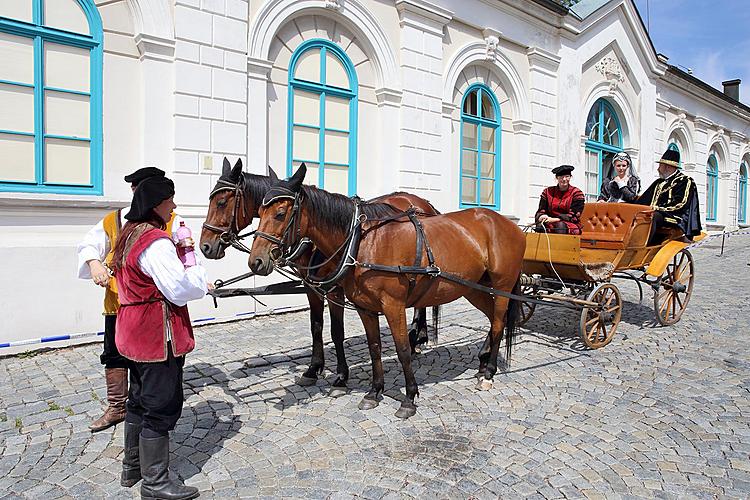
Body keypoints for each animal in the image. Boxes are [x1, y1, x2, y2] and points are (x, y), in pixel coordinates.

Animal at [203, 158, 440, 392]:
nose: (205, 246)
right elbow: (316, 326)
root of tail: (423, 202)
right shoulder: (311, 286)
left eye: (221, 202)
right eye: (260, 213)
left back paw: (416, 339)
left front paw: (341, 375)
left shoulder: (335, 290)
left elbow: (336, 331)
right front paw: (313, 368)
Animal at [250, 165, 524, 418]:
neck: (362, 242)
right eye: (259, 212)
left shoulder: (393, 306)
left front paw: (409, 398)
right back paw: (482, 363)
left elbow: (402, 349)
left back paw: (488, 372)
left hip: (502, 286)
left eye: (280, 213)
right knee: (493, 319)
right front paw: (374, 391)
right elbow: (374, 347)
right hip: (471, 287)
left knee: (498, 323)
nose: (256, 261)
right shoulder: (364, 307)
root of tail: (506, 223)